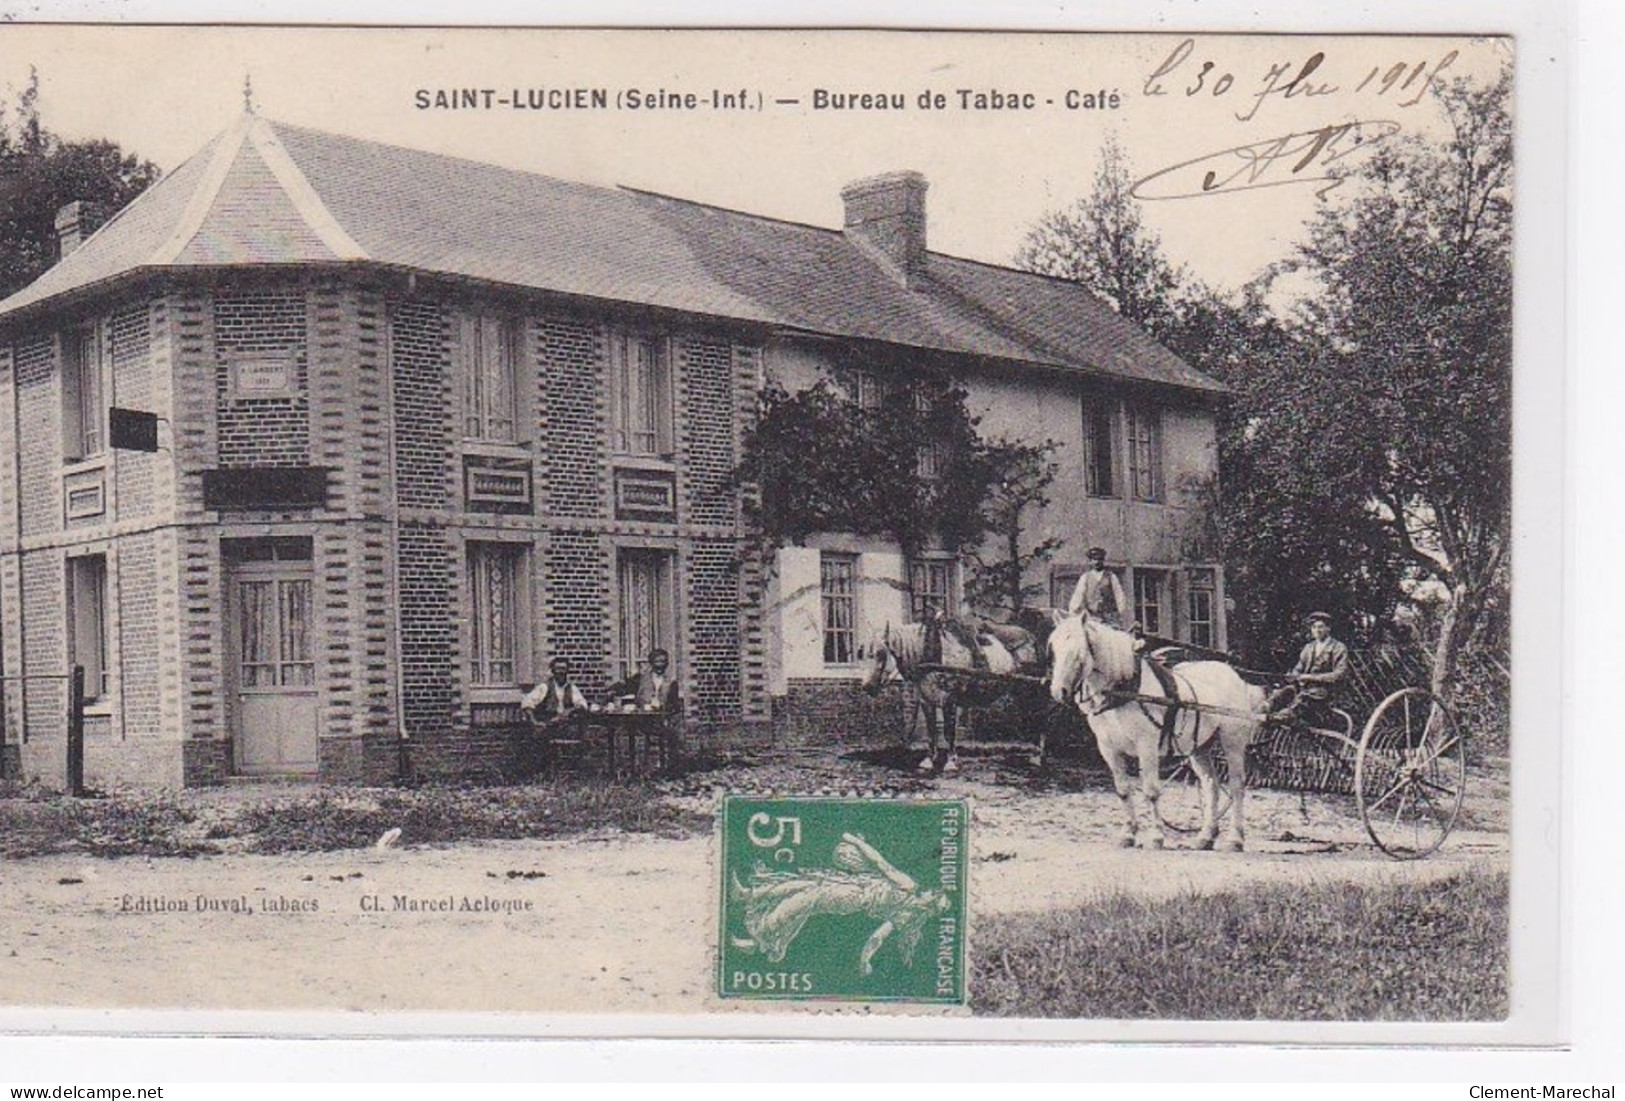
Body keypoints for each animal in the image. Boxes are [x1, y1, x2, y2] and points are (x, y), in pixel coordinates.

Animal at [1046, 613, 1261, 850]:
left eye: (1078, 651)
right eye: (1054, 647)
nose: (1058, 692)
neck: (1124, 689)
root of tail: (1235, 676)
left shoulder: (1146, 746)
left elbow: (1150, 791)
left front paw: (1157, 836)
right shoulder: (1109, 749)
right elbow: (1123, 790)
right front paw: (1128, 834)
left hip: (1232, 743)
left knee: (1236, 786)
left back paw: (1235, 839)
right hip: (1199, 747)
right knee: (1210, 785)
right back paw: (1205, 836)